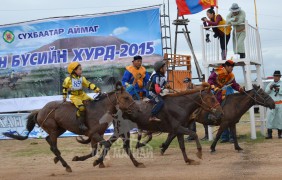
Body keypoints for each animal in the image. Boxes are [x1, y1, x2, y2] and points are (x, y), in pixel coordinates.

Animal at [2, 81, 138, 172]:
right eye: (126, 97)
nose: (136, 109)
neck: (100, 110)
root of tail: (40, 111)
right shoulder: (94, 134)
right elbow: (106, 145)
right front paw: (96, 161)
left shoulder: (97, 135)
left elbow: (95, 150)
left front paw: (84, 159)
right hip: (53, 130)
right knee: (53, 147)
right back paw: (66, 166)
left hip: (60, 129)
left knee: (49, 141)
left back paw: (58, 159)